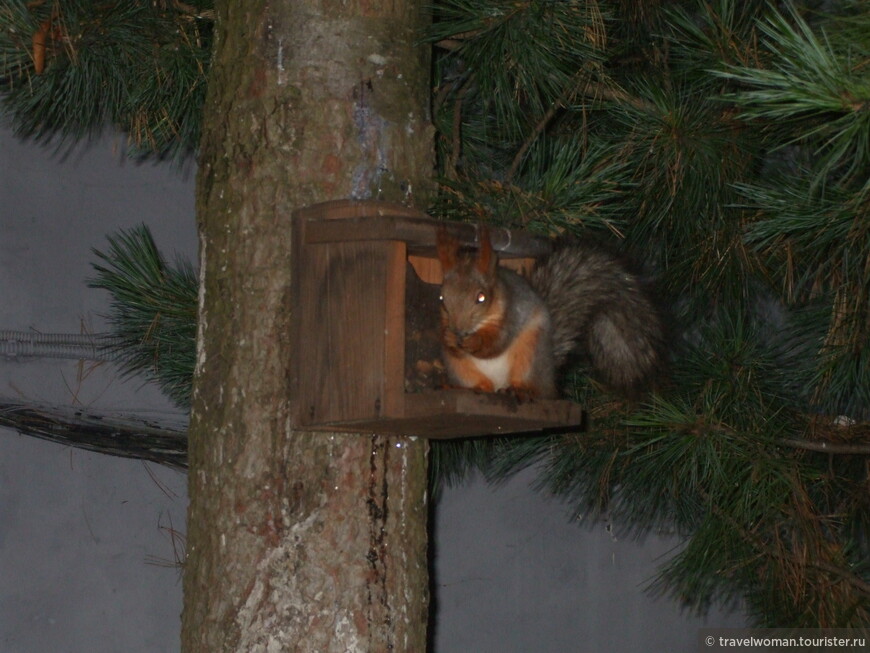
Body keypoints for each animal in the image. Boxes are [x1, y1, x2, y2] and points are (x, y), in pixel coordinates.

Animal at [440, 225, 664, 398]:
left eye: (481, 297)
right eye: (442, 298)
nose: (458, 330)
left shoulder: (512, 314)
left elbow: (496, 343)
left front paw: (474, 341)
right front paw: (449, 339)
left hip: (530, 354)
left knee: (538, 391)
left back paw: (521, 390)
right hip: (461, 369)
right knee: (482, 385)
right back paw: (462, 387)